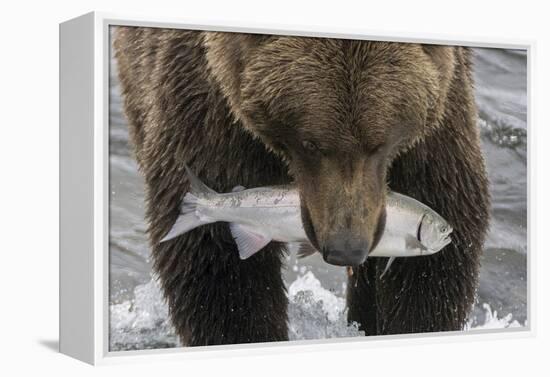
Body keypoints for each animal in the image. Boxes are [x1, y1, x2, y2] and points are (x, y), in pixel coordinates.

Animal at [113, 26, 492, 344]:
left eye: (378, 145)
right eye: (311, 144)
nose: (346, 248)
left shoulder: (436, 135)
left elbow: (432, 271)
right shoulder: (211, 114)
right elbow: (218, 269)